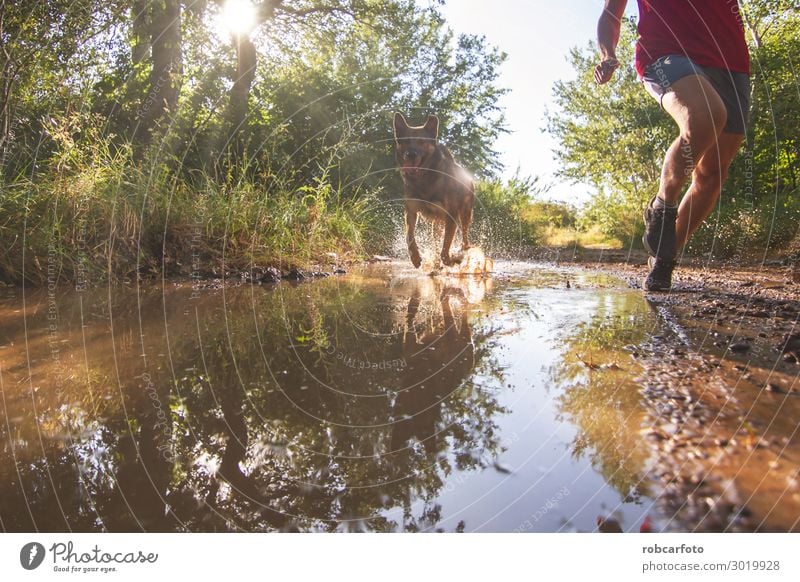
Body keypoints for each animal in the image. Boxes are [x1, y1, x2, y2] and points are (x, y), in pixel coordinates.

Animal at [394, 113, 476, 270]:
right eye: (405, 141)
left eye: (421, 141)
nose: (411, 154)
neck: (424, 179)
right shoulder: (411, 212)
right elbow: (409, 236)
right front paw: (415, 257)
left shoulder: (451, 216)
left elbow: (446, 245)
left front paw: (451, 260)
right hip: (437, 225)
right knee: (436, 242)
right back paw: (436, 264)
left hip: (465, 214)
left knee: (464, 236)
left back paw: (463, 251)